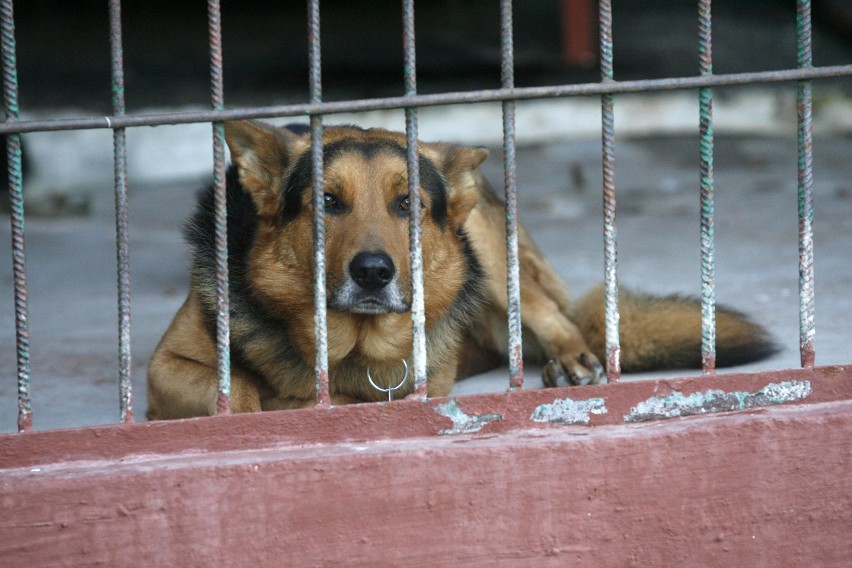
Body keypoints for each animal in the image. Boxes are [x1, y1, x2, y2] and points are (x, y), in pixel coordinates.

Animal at [146, 120, 780, 420]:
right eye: (327, 202)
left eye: (408, 204)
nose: (373, 273)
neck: (352, 342)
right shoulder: (165, 370)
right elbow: (238, 391)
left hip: (486, 245)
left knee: (548, 315)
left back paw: (570, 360)